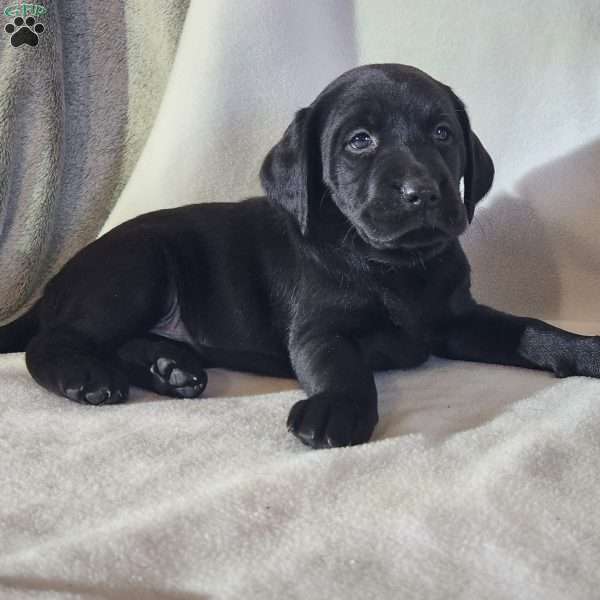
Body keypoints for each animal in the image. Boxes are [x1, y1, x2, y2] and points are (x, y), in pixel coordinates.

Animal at [1, 67, 600, 450]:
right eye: (359, 140)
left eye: (442, 134)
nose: (423, 192)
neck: (392, 266)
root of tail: (55, 281)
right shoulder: (319, 329)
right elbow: (343, 366)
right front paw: (338, 407)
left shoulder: (457, 319)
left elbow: (531, 328)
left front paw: (584, 350)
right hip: (137, 267)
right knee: (53, 342)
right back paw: (87, 375)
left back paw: (169, 368)